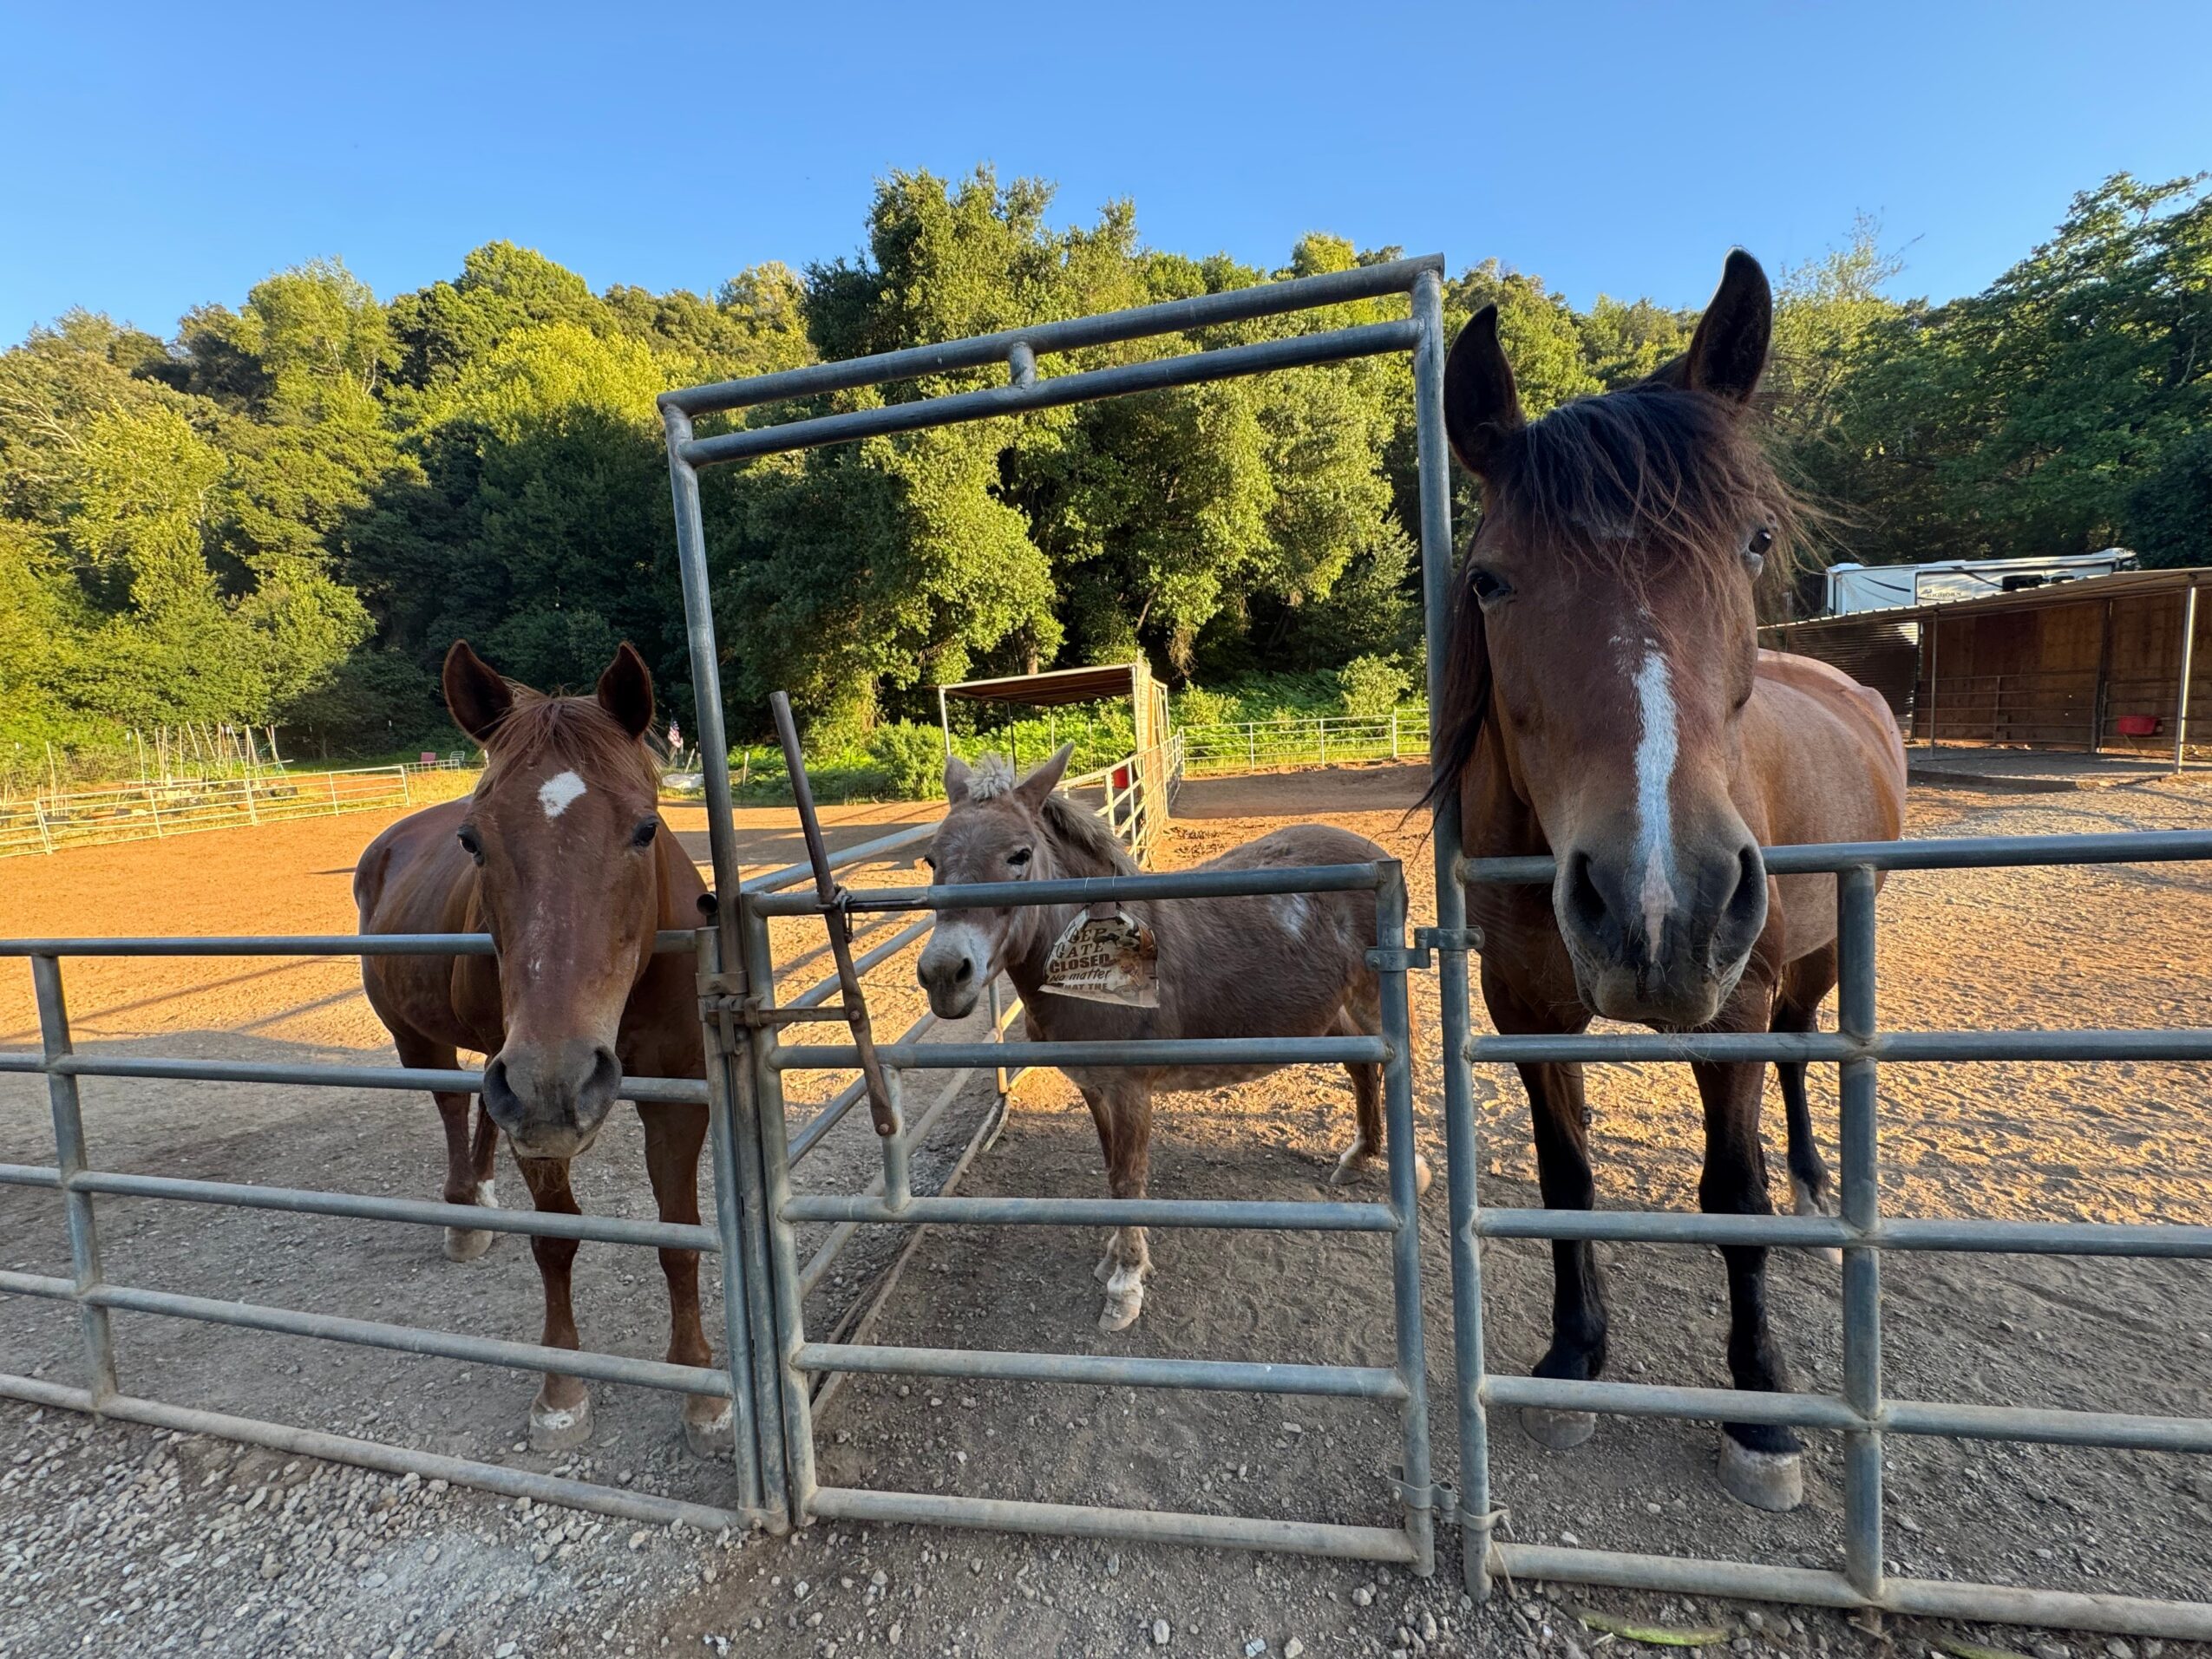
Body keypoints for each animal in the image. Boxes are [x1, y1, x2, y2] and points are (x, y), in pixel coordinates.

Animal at [355, 640, 730, 1457]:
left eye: (646, 829)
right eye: (474, 840)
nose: (556, 1083)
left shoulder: (678, 1096)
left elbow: (679, 1237)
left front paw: (701, 1387)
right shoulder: (531, 1097)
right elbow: (555, 1242)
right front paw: (562, 1389)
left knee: (482, 1110)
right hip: (430, 1042)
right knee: (452, 1105)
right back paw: (466, 1212)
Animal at [913, 744, 1430, 1332]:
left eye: (1019, 855)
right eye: (932, 860)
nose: (943, 974)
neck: (1094, 963)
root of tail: (1371, 853)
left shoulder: (1131, 1092)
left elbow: (1129, 1181)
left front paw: (1126, 1285)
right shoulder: (1094, 1089)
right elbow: (1112, 1173)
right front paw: (1115, 1260)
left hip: (1372, 997)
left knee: (1402, 1066)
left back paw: (1409, 1170)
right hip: (1335, 1011)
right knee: (1364, 1068)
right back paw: (1360, 1157)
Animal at [1427, 251, 1908, 1512]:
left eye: (1752, 541)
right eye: (1489, 580)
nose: (1659, 906)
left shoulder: (1730, 1007)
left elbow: (1731, 1198)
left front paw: (1763, 1411)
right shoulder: (1525, 1010)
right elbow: (1565, 1177)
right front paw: (1573, 1355)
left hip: (1815, 956)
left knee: (1803, 1052)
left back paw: (1815, 1174)